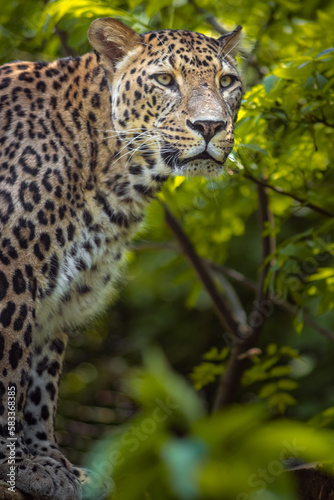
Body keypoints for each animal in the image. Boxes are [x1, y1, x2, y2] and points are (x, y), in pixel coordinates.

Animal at [0, 17, 241, 500]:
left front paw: (50, 465)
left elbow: (39, 385)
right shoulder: (12, 275)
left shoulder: (54, 297)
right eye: (165, 80)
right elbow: (8, 374)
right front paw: (13, 463)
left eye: (227, 82)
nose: (210, 126)